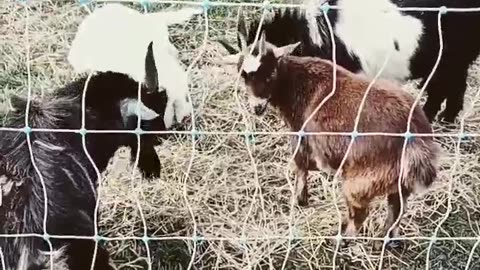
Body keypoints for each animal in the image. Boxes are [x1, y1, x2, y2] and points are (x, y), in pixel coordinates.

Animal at [225, 32, 438, 246]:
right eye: (242, 76)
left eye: (270, 75)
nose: (257, 107)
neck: (299, 83)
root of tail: (416, 140)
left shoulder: (301, 135)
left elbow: (300, 165)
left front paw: (300, 200)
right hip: (399, 182)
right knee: (397, 208)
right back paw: (383, 241)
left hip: (361, 182)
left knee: (360, 213)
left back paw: (342, 240)